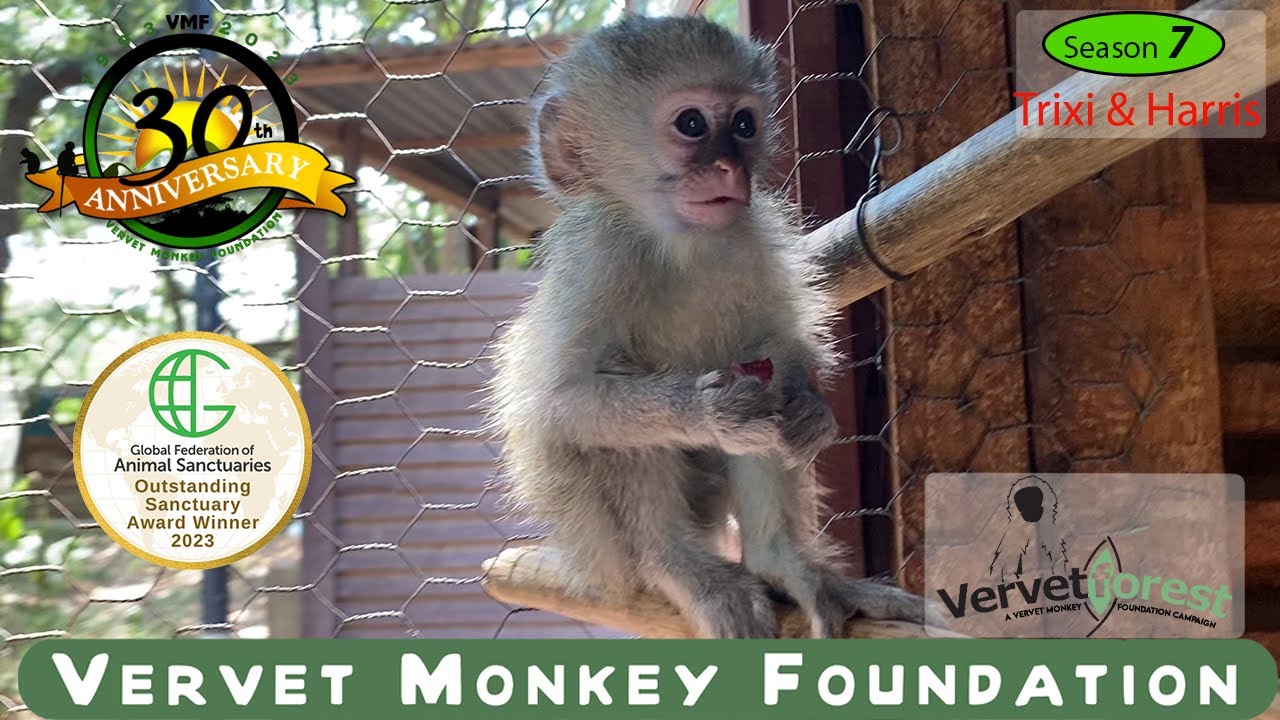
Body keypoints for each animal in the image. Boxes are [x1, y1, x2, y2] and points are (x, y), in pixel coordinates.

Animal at [487, 15, 926, 638]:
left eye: (743, 124)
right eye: (692, 124)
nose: (730, 168)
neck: (679, 244)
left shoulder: (753, 234)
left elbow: (781, 350)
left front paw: (809, 409)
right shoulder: (599, 255)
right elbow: (561, 404)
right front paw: (707, 412)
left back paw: (781, 560)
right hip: (594, 541)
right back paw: (674, 562)